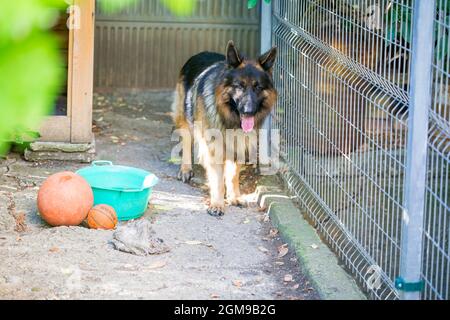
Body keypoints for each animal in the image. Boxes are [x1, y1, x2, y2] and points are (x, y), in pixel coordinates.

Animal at [172, 41, 278, 216]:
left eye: (258, 87)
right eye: (239, 86)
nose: (248, 111)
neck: (230, 118)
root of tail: (201, 53)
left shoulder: (240, 145)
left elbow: (233, 175)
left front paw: (234, 197)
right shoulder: (214, 149)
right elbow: (217, 180)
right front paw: (217, 204)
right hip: (185, 117)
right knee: (186, 141)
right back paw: (186, 169)